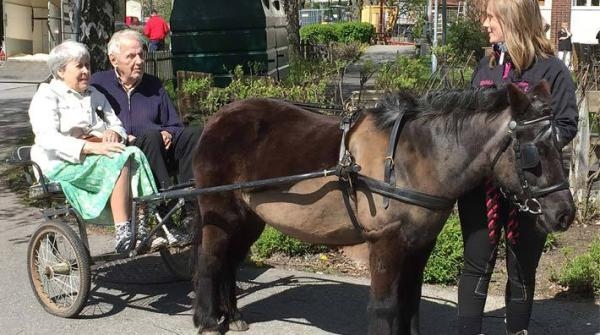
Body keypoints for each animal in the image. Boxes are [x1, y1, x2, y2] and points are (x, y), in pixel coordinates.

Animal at [190, 82, 576, 335]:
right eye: (534, 152)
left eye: (561, 143)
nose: (565, 214)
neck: (413, 158)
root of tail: (217, 118)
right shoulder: (385, 242)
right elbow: (385, 306)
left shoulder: (420, 244)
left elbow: (410, 301)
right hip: (220, 212)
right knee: (210, 261)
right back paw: (208, 321)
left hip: (249, 218)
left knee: (229, 262)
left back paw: (232, 316)